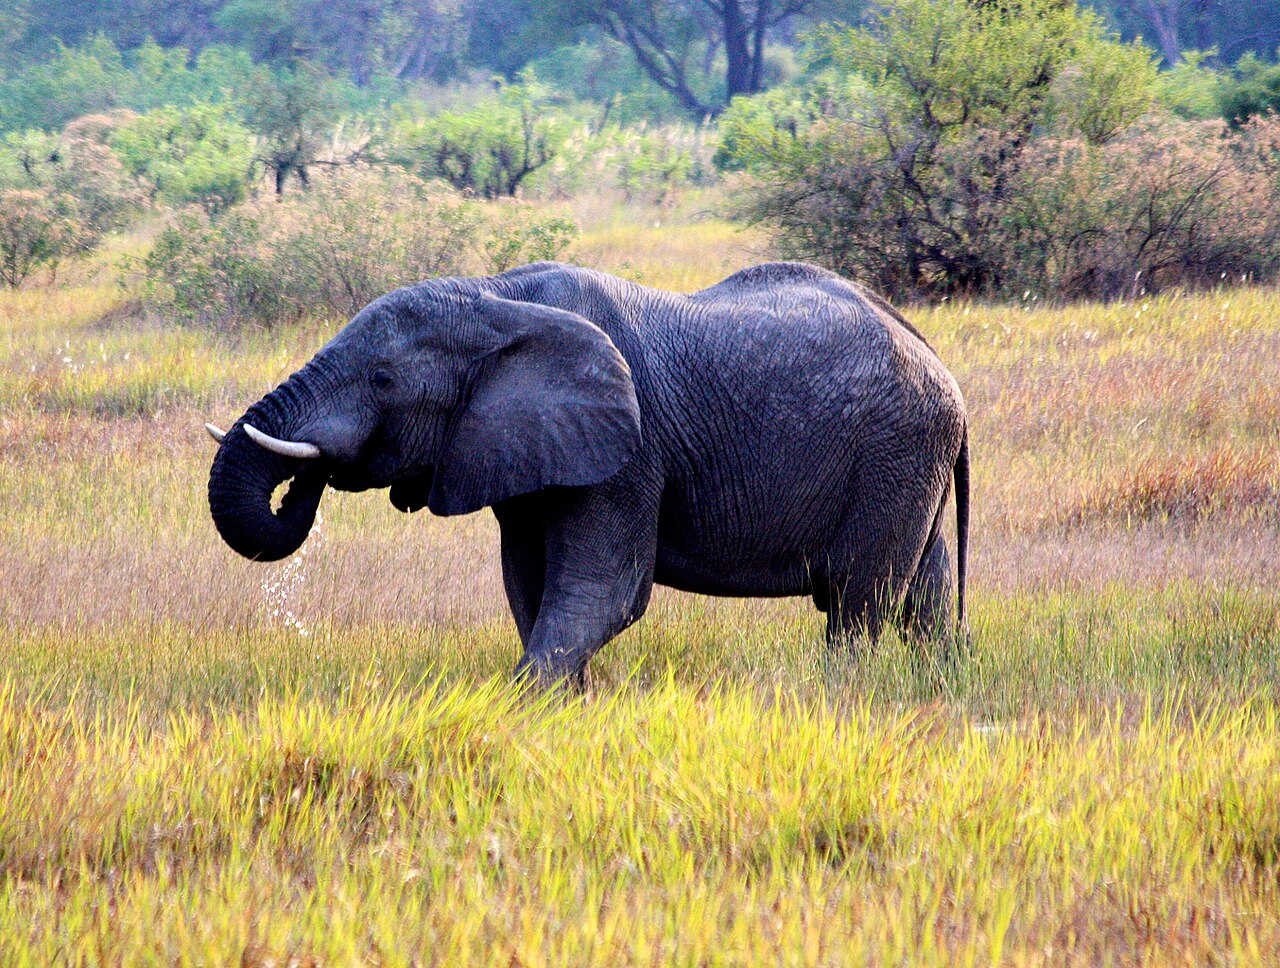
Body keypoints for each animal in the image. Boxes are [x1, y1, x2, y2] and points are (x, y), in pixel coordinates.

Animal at [206, 261, 969, 684]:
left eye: (384, 380)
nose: (308, 473)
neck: (495, 295)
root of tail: (937, 359)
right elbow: (529, 586)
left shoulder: (628, 453)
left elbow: (603, 595)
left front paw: (517, 705)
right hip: (911, 463)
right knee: (922, 601)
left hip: (893, 452)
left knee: (859, 600)